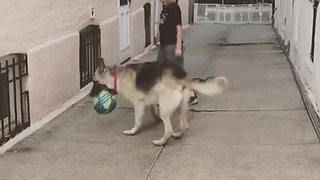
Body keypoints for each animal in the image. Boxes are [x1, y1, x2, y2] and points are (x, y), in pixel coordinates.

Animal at [90, 59, 228, 146]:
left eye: (95, 83)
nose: (90, 96)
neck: (117, 76)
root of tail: (182, 79)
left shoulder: (138, 104)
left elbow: (137, 121)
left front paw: (133, 131)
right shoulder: (151, 100)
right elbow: (152, 110)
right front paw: (155, 119)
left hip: (165, 110)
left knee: (168, 129)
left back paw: (162, 141)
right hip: (180, 107)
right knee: (185, 125)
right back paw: (178, 133)